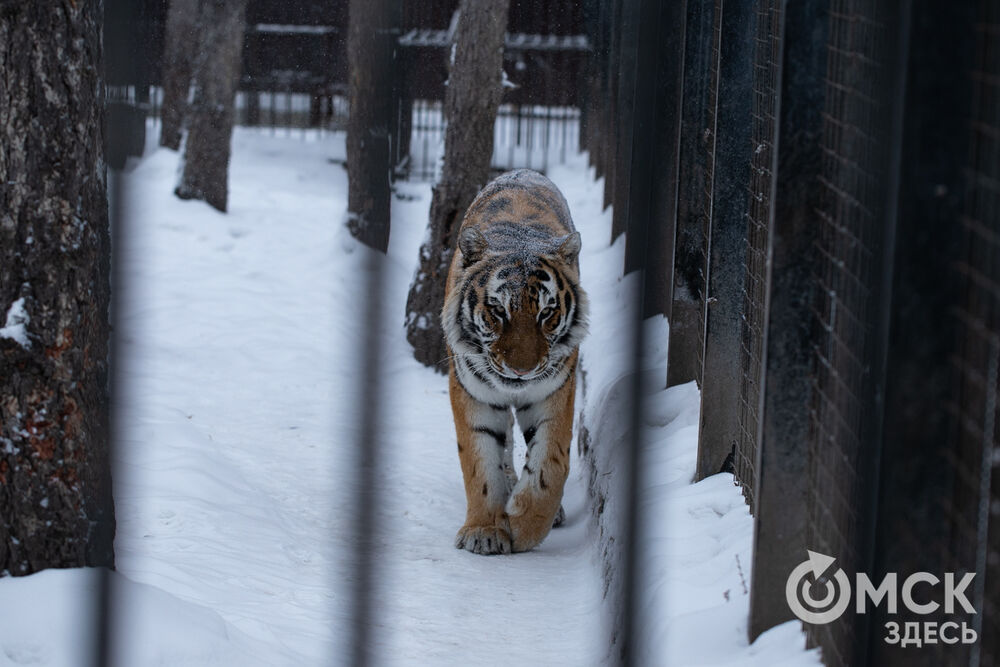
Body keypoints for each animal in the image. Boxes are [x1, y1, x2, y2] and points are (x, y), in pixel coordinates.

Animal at [444, 170, 584, 556]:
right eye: (497, 311)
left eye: (547, 313)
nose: (521, 370)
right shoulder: (473, 393)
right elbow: (480, 463)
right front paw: (484, 531)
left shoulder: (554, 393)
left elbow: (550, 465)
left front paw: (525, 527)